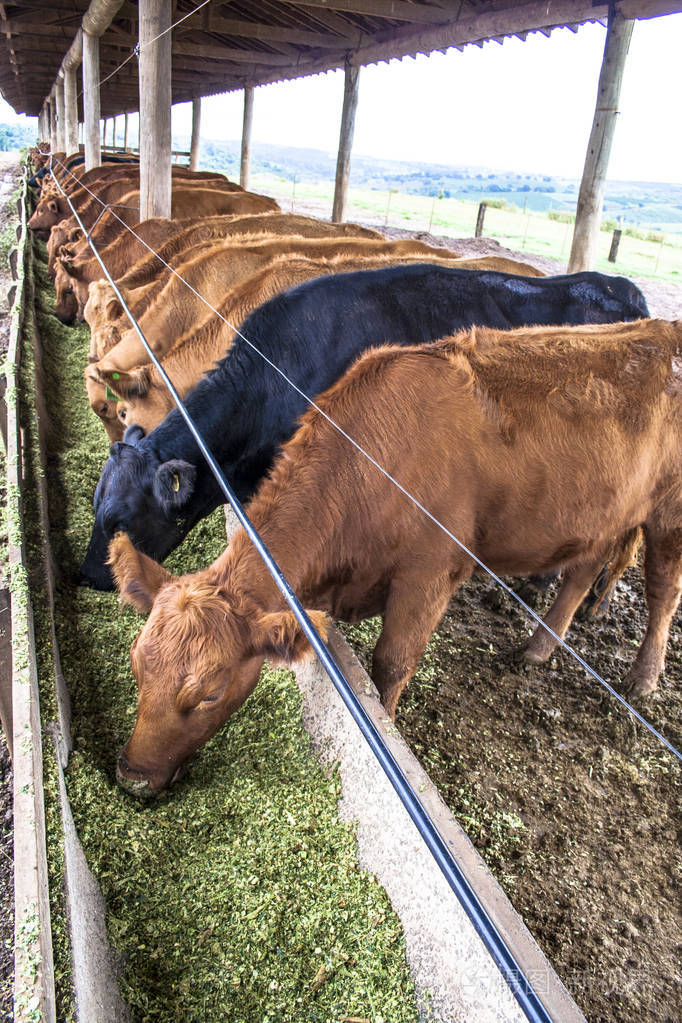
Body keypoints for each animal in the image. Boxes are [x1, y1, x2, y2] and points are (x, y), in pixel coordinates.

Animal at [110, 315, 682, 793]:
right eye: (136, 664)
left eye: (208, 693)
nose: (132, 778)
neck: (367, 465)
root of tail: (663, 327)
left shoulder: (430, 574)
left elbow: (392, 662)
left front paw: (385, 727)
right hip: (603, 513)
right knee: (582, 570)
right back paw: (539, 648)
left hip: (668, 515)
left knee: (662, 591)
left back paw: (642, 679)